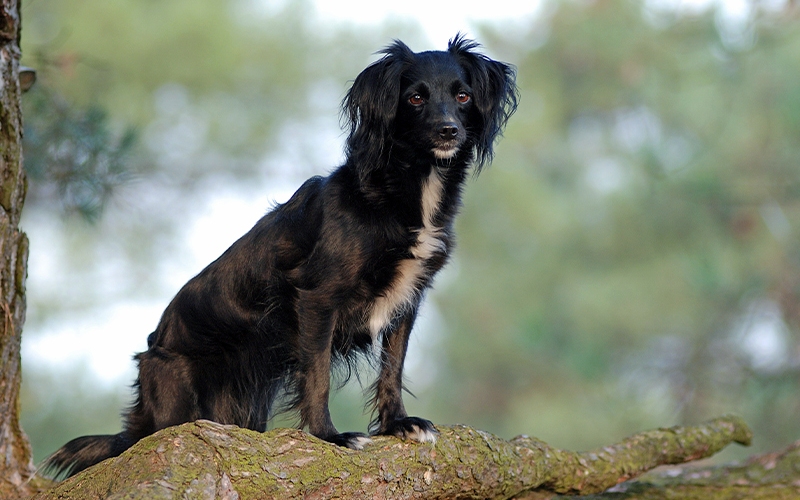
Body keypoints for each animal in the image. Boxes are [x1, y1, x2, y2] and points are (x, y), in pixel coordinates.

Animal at [42, 33, 520, 478]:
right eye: (415, 97)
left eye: (463, 96)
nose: (448, 131)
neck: (403, 192)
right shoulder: (317, 298)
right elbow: (318, 375)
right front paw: (331, 437)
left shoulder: (408, 298)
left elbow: (393, 367)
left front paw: (398, 424)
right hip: (178, 402)